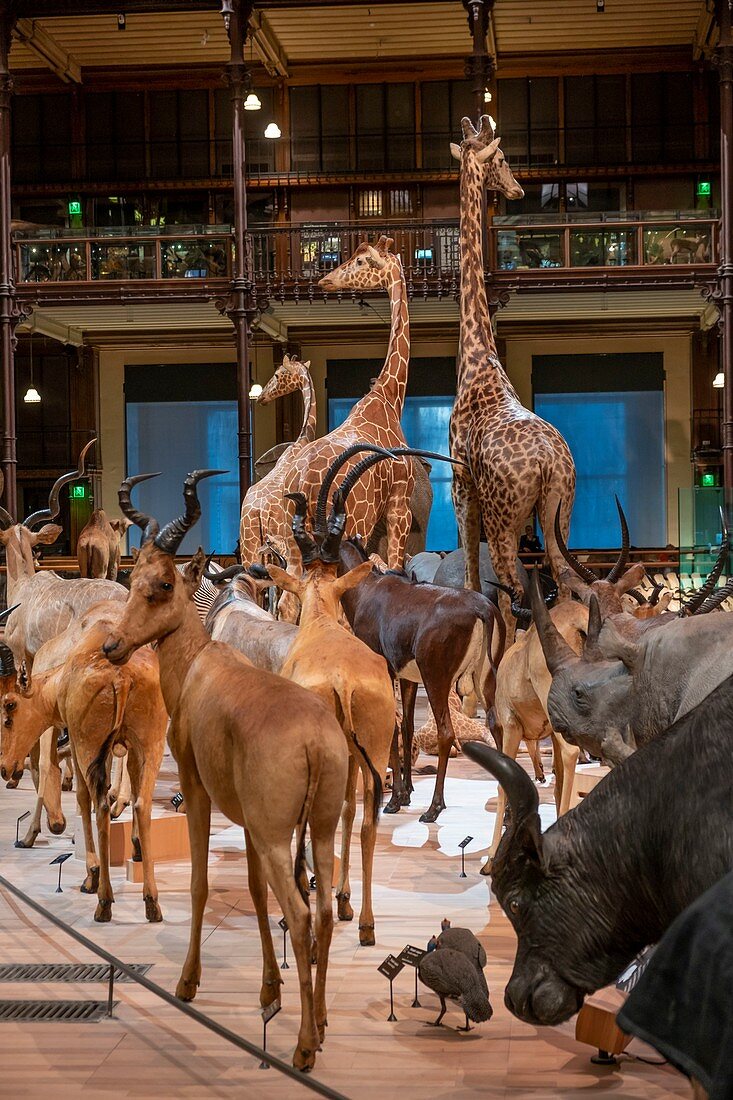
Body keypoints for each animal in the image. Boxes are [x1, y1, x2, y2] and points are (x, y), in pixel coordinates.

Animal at [0, 602, 167, 919]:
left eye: (9, 707)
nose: (5, 768)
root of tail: (122, 676)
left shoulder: (78, 747)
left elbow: (79, 797)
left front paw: (90, 874)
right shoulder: (129, 750)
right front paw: (136, 848)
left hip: (90, 747)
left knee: (98, 804)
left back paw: (104, 901)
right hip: (151, 746)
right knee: (143, 804)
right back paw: (151, 902)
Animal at [100, 468, 347, 1069]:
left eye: (165, 584)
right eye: (134, 576)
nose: (113, 645)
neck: (201, 665)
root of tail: (314, 740)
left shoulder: (199, 791)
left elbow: (200, 883)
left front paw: (188, 982)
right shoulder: (251, 826)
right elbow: (254, 893)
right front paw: (268, 991)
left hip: (282, 837)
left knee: (300, 915)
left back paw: (304, 1048)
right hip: (318, 830)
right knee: (324, 911)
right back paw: (321, 1024)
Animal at [279, 237, 413, 589]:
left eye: (361, 261)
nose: (325, 279)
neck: (389, 398)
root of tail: (305, 478)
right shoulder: (400, 505)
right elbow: (396, 564)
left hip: (296, 538)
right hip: (353, 522)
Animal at [444, 116, 576, 638]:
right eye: (501, 159)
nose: (518, 188)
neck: (477, 356)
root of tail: (548, 463)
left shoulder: (461, 483)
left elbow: (471, 580)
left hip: (505, 518)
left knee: (512, 592)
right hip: (558, 509)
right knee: (565, 583)